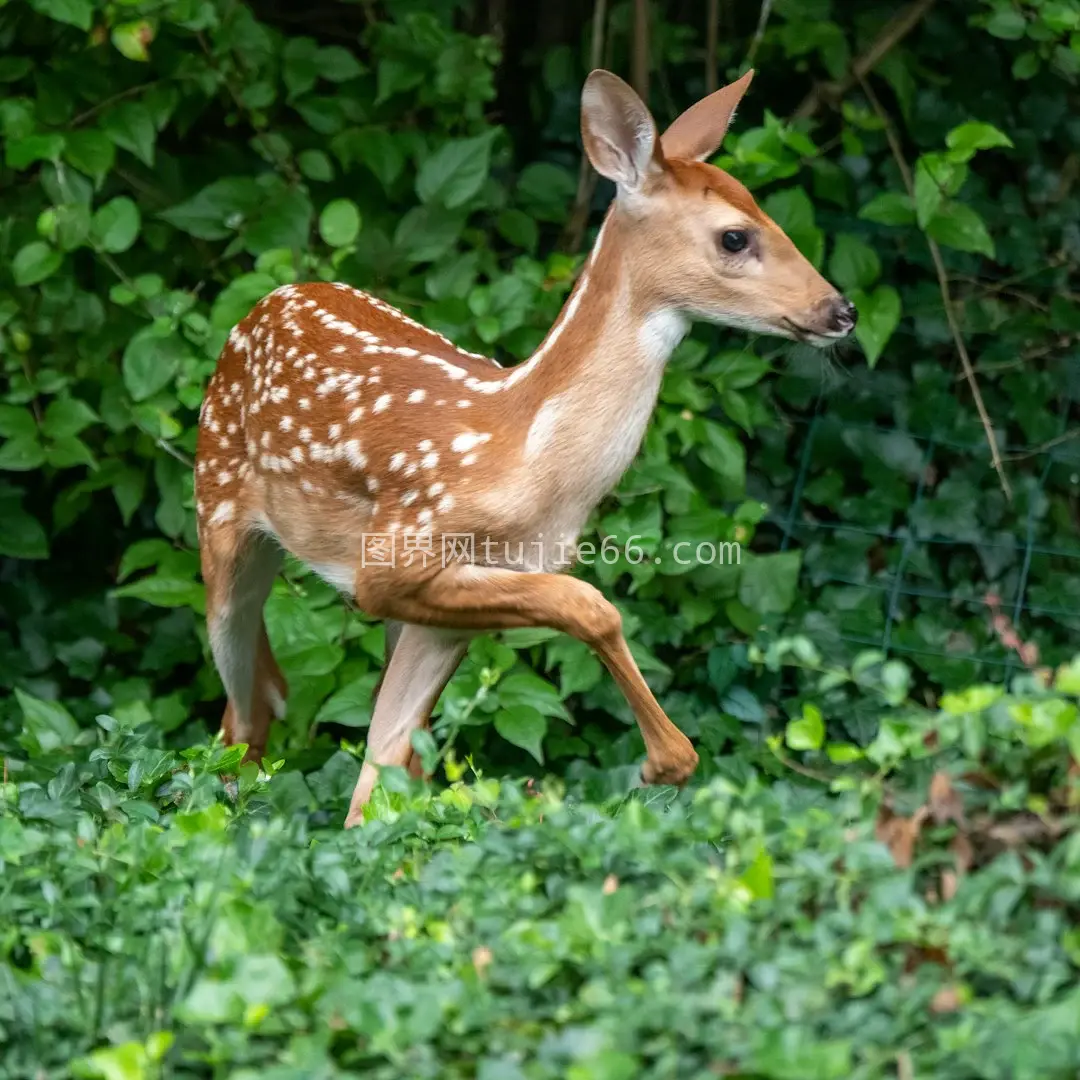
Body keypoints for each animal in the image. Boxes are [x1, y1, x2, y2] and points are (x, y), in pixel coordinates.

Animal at [192, 67, 851, 825]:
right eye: (736, 237)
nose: (840, 310)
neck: (529, 457)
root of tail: (265, 301)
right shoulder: (392, 560)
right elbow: (591, 604)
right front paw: (666, 761)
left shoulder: (453, 608)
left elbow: (378, 778)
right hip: (218, 515)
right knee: (241, 707)